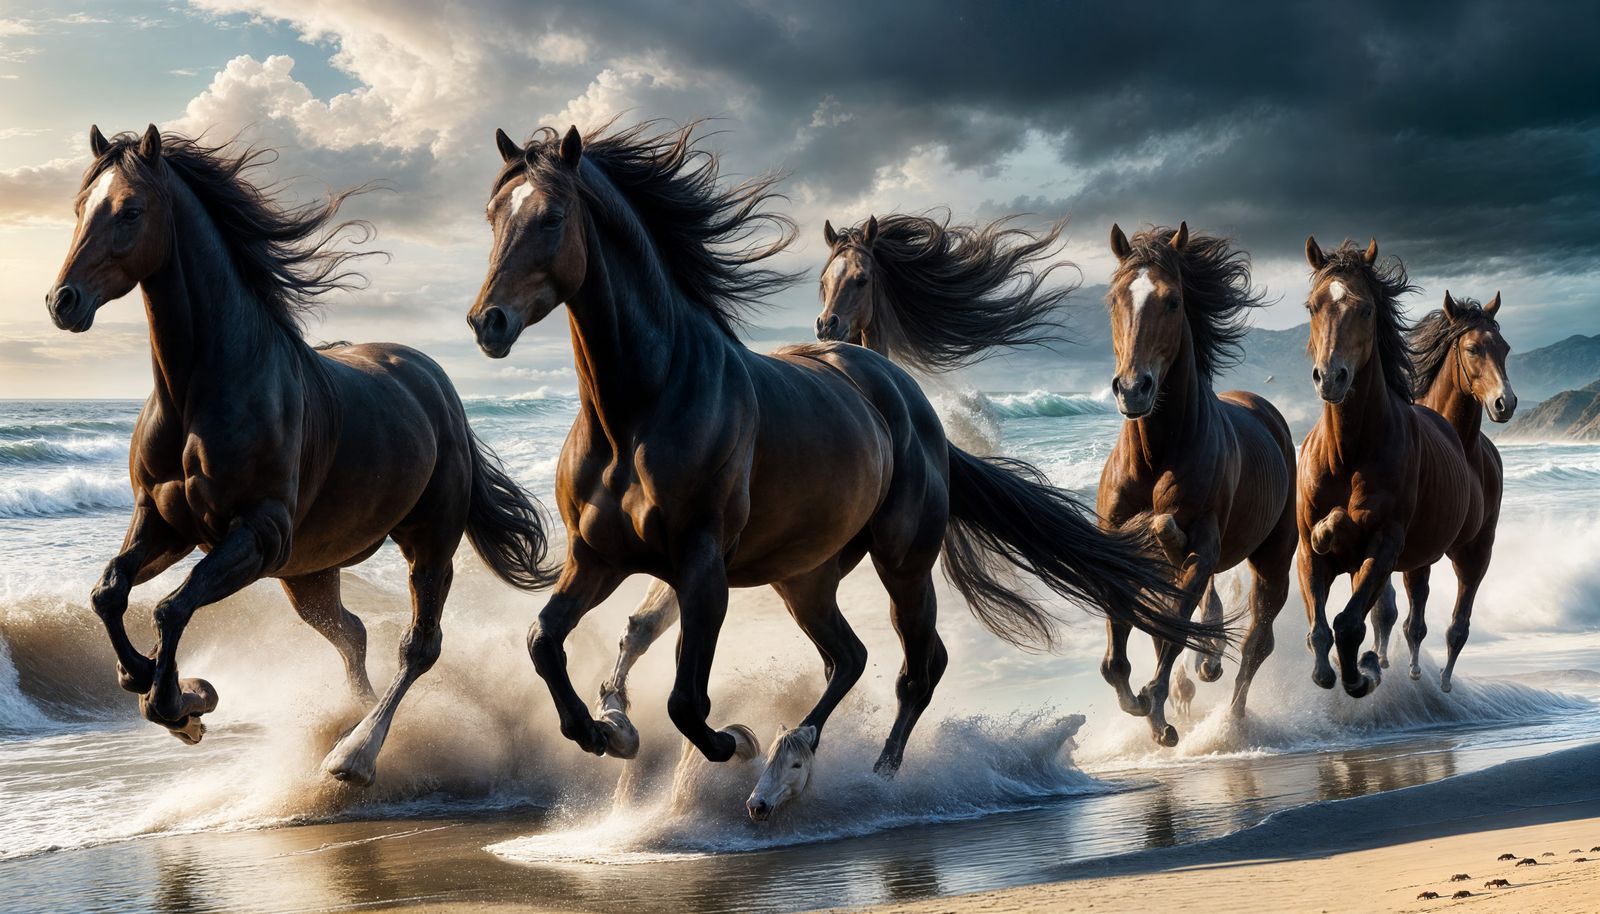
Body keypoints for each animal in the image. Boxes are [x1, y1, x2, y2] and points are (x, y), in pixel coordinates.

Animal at [44, 125, 555, 784]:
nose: (63, 301)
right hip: (309, 572)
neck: (203, 388)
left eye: (129, 210)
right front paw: (152, 680)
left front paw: (183, 705)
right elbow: (109, 591)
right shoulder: (165, 524)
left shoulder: (258, 534)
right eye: (81, 206)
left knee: (418, 646)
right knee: (350, 632)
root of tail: (434, 383)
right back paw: (352, 719)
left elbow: (170, 608)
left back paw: (356, 754)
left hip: (428, 540)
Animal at [1097, 223, 1297, 745]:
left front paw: (1156, 713)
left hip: (1273, 559)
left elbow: (1172, 627)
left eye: (1172, 301)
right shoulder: (1120, 547)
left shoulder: (1203, 546)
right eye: (1113, 299)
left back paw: (1231, 723)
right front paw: (1142, 704)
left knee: (1257, 642)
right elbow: (1128, 645)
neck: (1156, 453)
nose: (1134, 389)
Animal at [1297, 237, 1484, 698]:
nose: (1331, 378)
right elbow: (1320, 634)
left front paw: (1364, 673)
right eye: (1312, 306)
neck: (1347, 452)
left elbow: (1347, 626)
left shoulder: (1386, 543)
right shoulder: (1306, 549)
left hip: (1473, 551)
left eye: (1365, 309)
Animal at [1368, 292, 1513, 688]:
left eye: (1505, 348)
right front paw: (1404, 665)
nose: (1504, 403)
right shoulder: (1415, 546)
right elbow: (1405, 614)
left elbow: (1450, 621)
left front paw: (1435, 675)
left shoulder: (1473, 550)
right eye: (1473, 348)